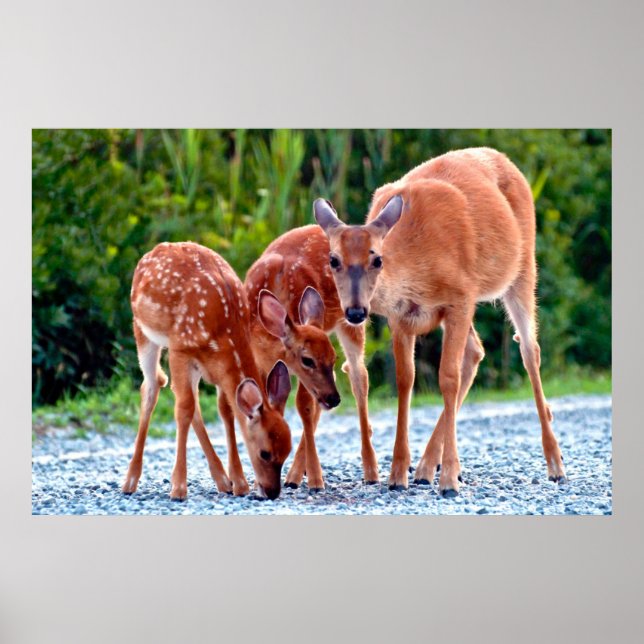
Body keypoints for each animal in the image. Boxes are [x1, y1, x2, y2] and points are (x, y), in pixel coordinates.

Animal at [122, 241, 292, 501]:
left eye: (288, 451)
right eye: (264, 453)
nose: (272, 492)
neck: (226, 330)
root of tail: (153, 251)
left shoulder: (218, 368)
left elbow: (226, 410)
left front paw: (239, 482)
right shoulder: (180, 348)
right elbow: (183, 410)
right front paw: (178, 488)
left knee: (191, 400)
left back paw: (222, 480)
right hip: (142, 330)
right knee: (153, 387)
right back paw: (130, 480)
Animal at [244, 228, 379, 490]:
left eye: (333, 357)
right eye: (307, 360)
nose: (334, 399)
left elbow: (304, 406)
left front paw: (316, 479)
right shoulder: (260, 360)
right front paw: (259, 481)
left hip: (353, 319)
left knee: (359, 377)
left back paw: (370, 471)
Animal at [314, 146, 567, 497]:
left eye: (377, 259)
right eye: (333, 259)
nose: (355, 312)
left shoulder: (460, 298)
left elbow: (447, 377)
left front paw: (448, 480)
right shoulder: (400, 317)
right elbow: (406, 380)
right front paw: (398, 475)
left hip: (523, 268)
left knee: (529, 351)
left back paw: (556, 465)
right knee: (476, 351)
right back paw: (423, 468)